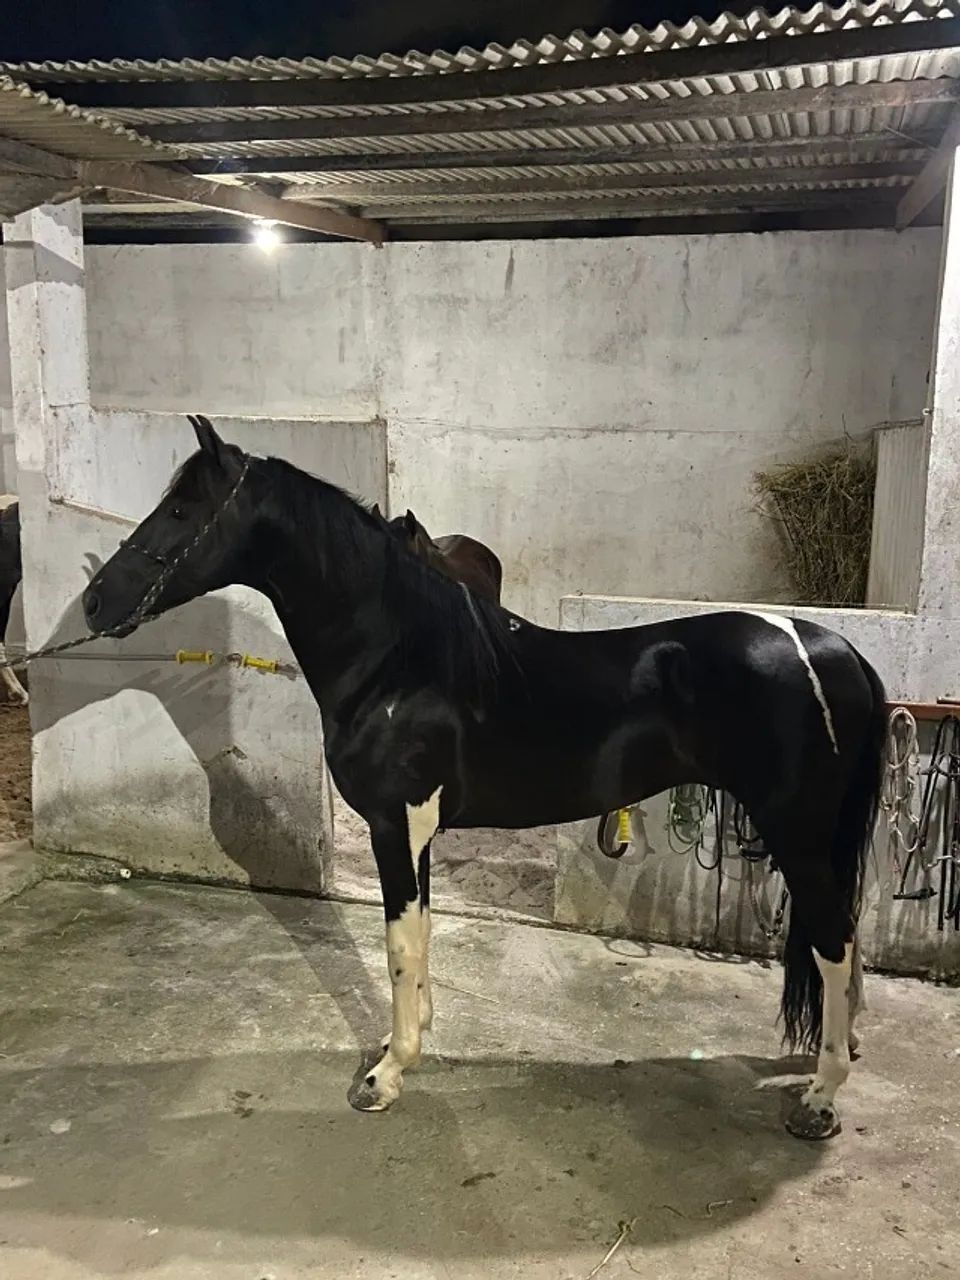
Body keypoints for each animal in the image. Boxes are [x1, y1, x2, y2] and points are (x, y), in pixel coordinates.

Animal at [83, 416, 886, 1139]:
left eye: (182, 510)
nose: (94, 602)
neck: (400, 661)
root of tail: (835, 648)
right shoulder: (417, 831)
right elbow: (421, 935)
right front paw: (403, 1041)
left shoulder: (394, 825)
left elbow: (399, 944)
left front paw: (386, 1075)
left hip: (798, 835)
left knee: (833, 941)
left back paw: (820, 1099)